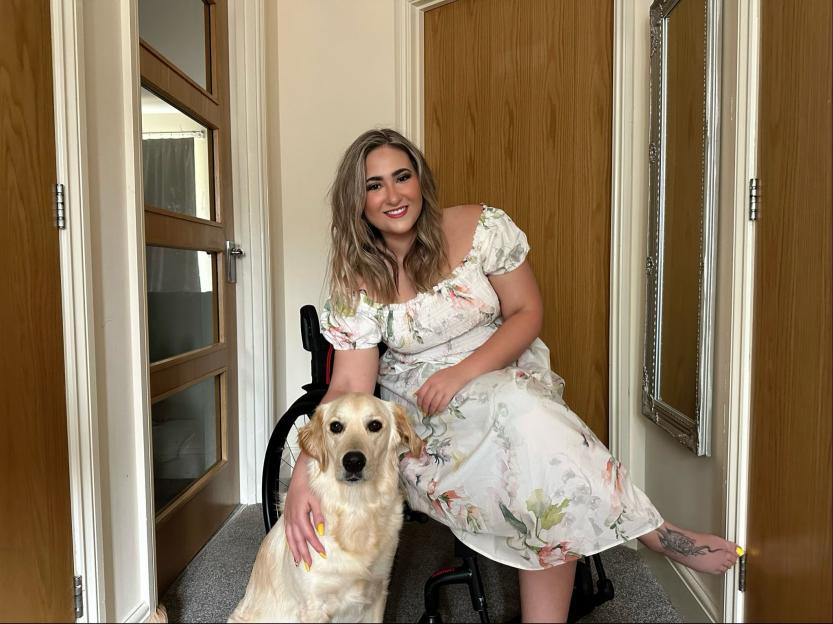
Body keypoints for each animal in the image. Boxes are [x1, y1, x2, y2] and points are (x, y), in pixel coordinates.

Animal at [228, 392, 422, 620]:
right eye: (336, 426)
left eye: (375, 425)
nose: (353, 461)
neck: (356, 508)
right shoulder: (314, 607)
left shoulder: (378, 593)